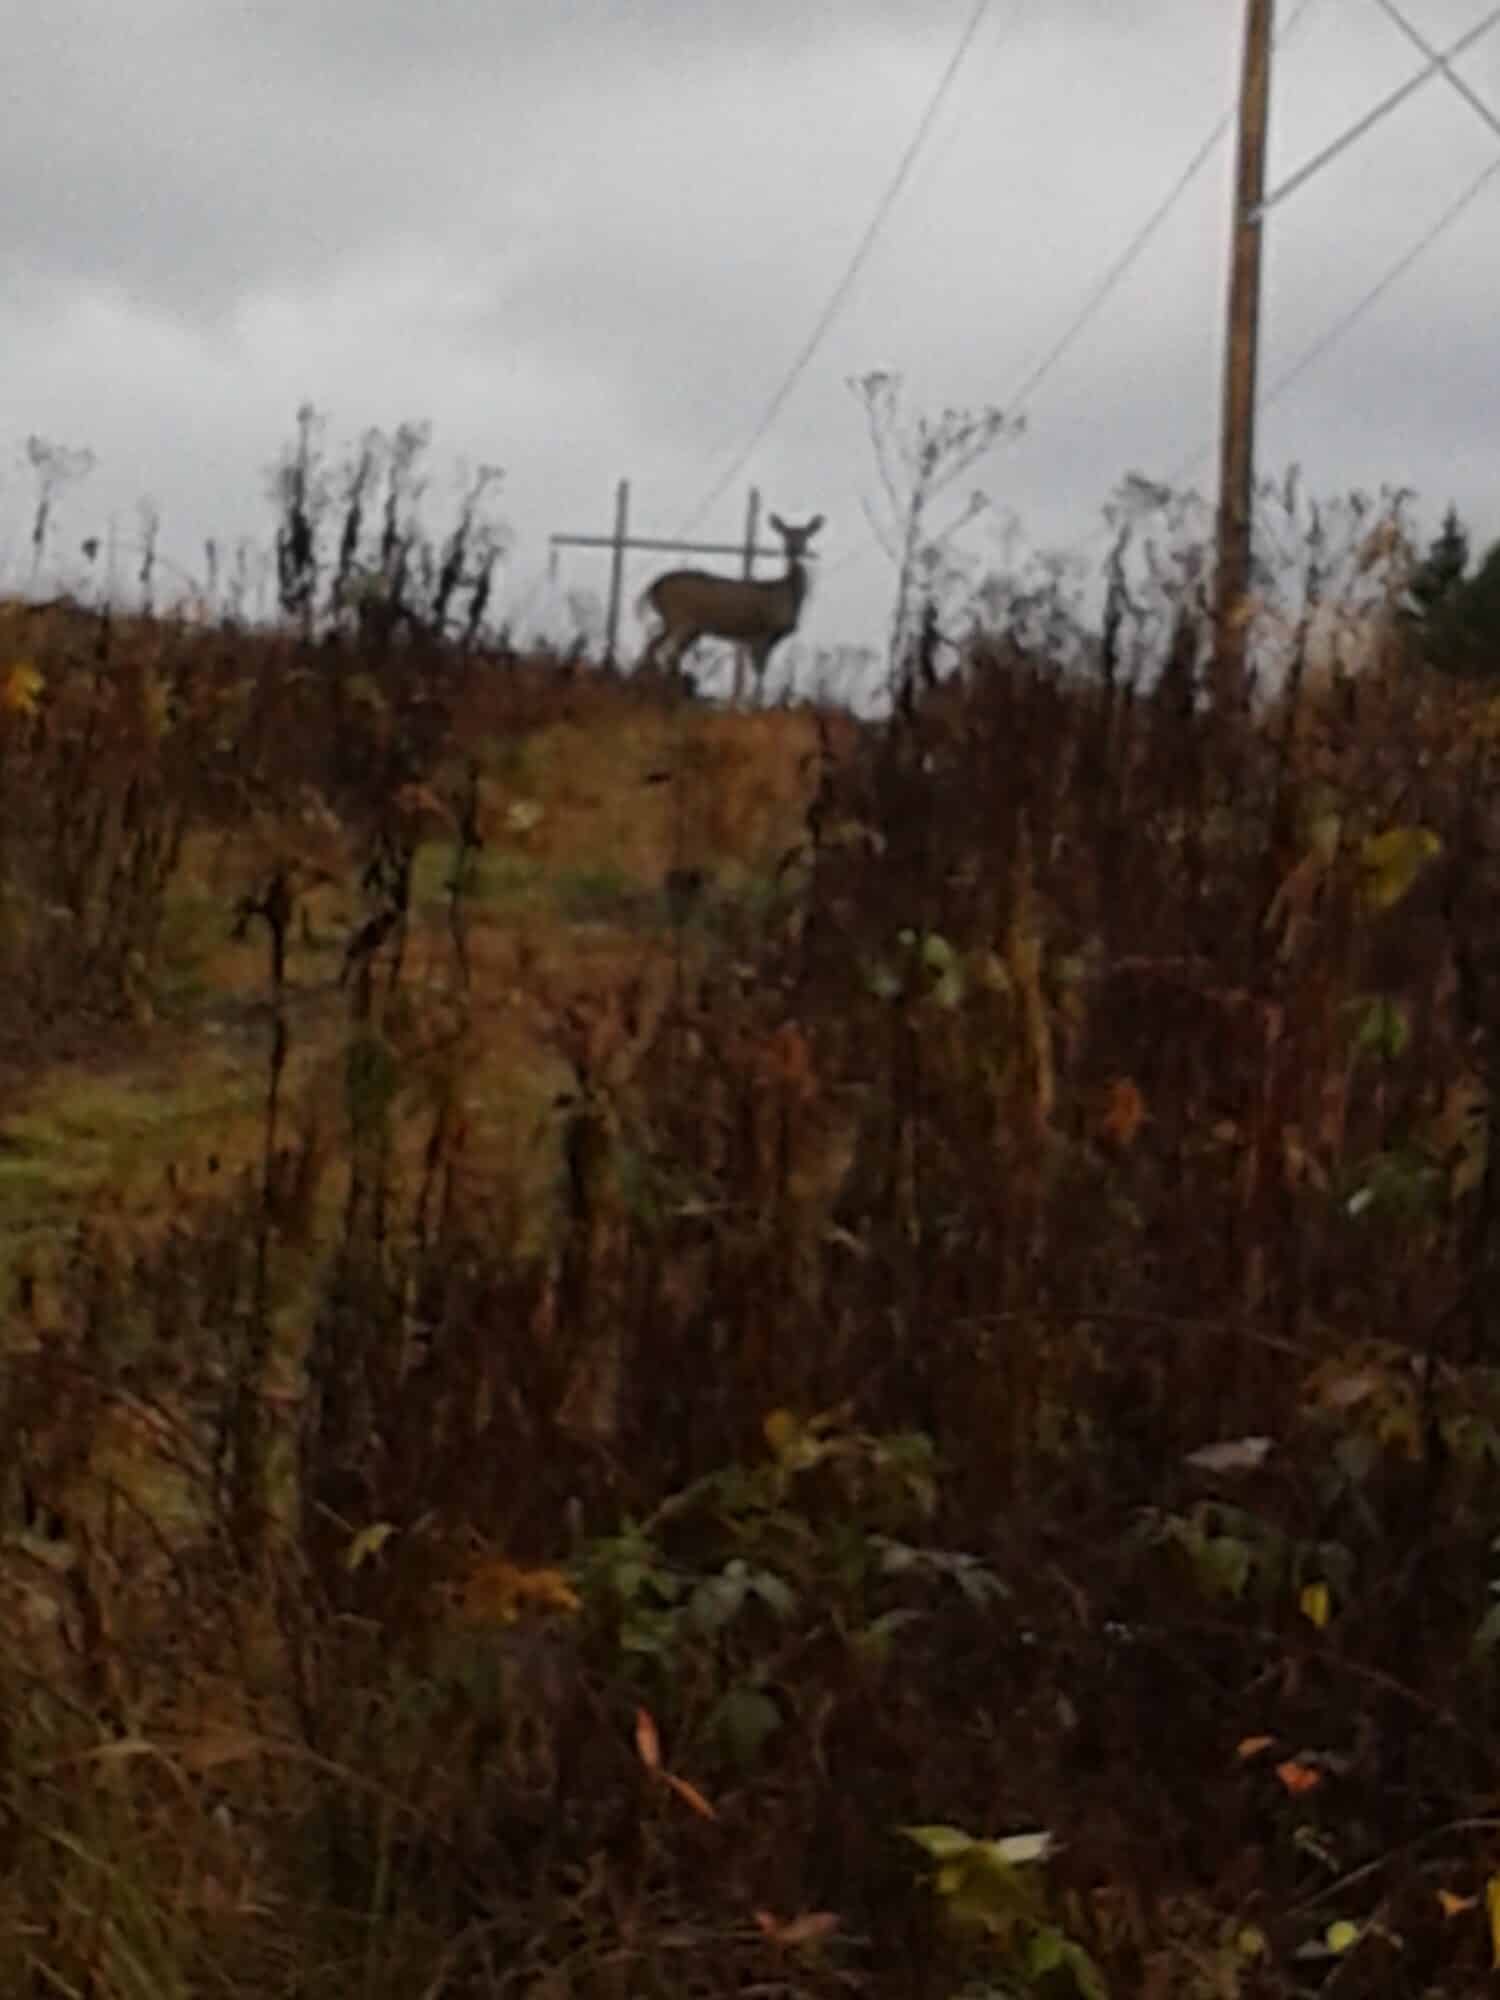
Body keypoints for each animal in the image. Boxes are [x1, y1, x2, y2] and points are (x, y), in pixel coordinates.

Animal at [636, 512, 824, 708]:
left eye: (805, 536)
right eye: (786, 535)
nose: (794, 550)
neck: (786, 594)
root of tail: (653, 586)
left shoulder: (764, 638)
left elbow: (759, 670)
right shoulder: (762, 633)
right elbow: (760, 671)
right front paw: (755, 703)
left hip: (683, 625)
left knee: (656, 647)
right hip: (680, 618)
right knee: (666, 652)